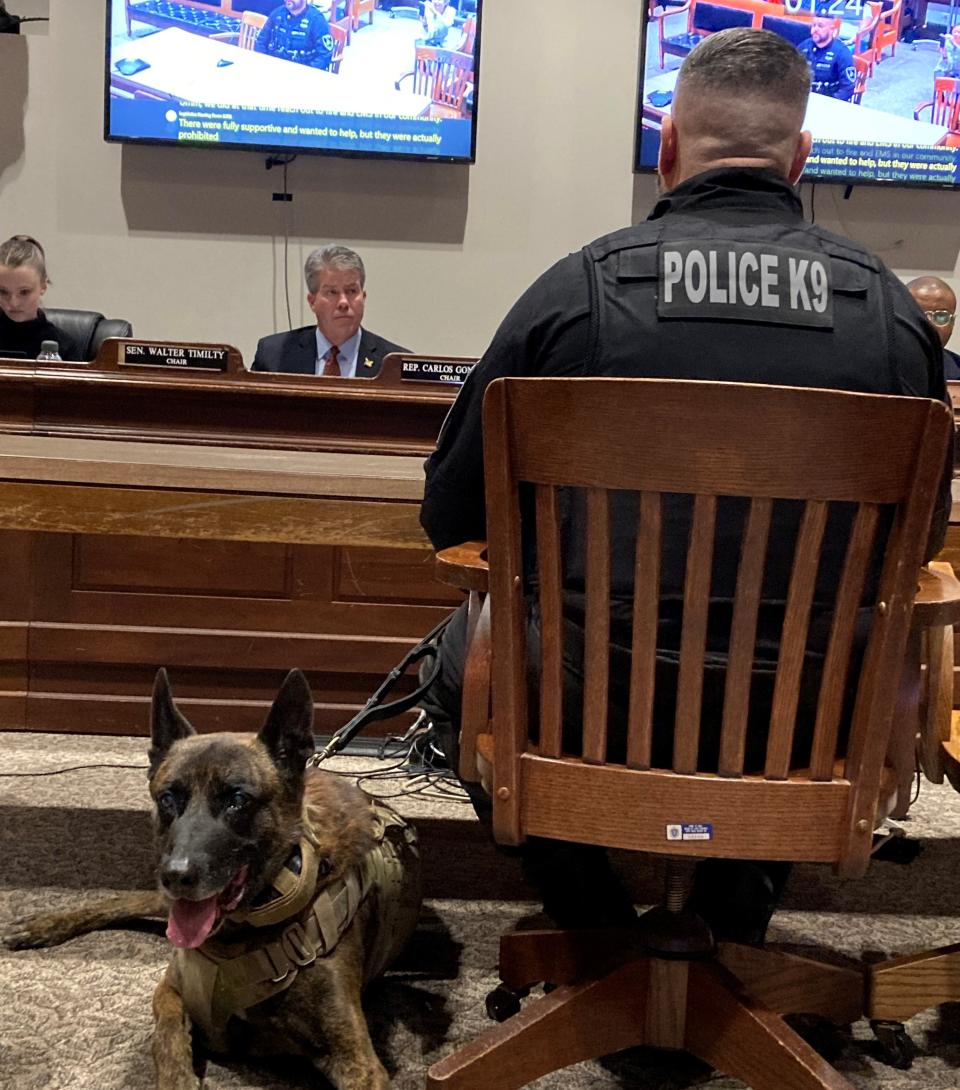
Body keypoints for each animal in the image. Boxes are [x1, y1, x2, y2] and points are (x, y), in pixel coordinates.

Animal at [3, 667, 420, 1090]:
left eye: (237, 800)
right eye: (168, 798)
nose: (176, 875)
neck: (239, 936)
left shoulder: (359, 1062)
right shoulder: (171, 990)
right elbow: (167, 1039)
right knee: (126, 901)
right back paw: (40, 926)